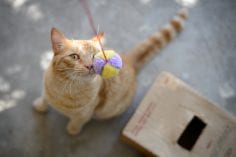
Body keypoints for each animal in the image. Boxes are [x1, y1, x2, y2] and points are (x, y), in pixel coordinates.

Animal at [33, 8, 188, 135]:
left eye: (95, 57)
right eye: (74, 56)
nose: (90, 66)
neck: (64, 87)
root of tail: (127, 59)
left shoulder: (84, 114)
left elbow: (77, 122)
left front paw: (72, 130)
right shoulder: (45, 91)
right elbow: (44, 99)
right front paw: (40, 106)